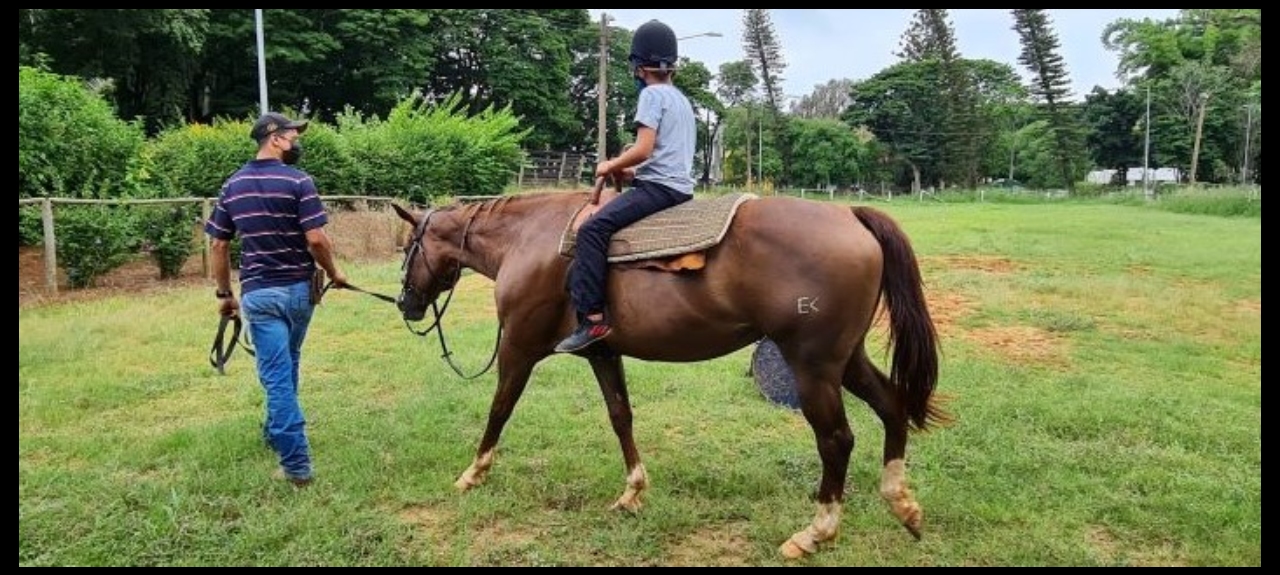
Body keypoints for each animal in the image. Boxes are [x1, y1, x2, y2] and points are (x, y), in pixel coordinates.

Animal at [391, 186, 952, 555]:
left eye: (406, 249)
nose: (406, 304)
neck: (531, 239)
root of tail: (850, 216)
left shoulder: (519, 349)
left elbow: (500, 409)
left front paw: (473, 473)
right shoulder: (602, 352)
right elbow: (621, 416)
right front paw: (633, 491)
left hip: (812, 367)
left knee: (836, 440)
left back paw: (816, 532)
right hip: (846, 359)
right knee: (892, 405)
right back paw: (902, 504)